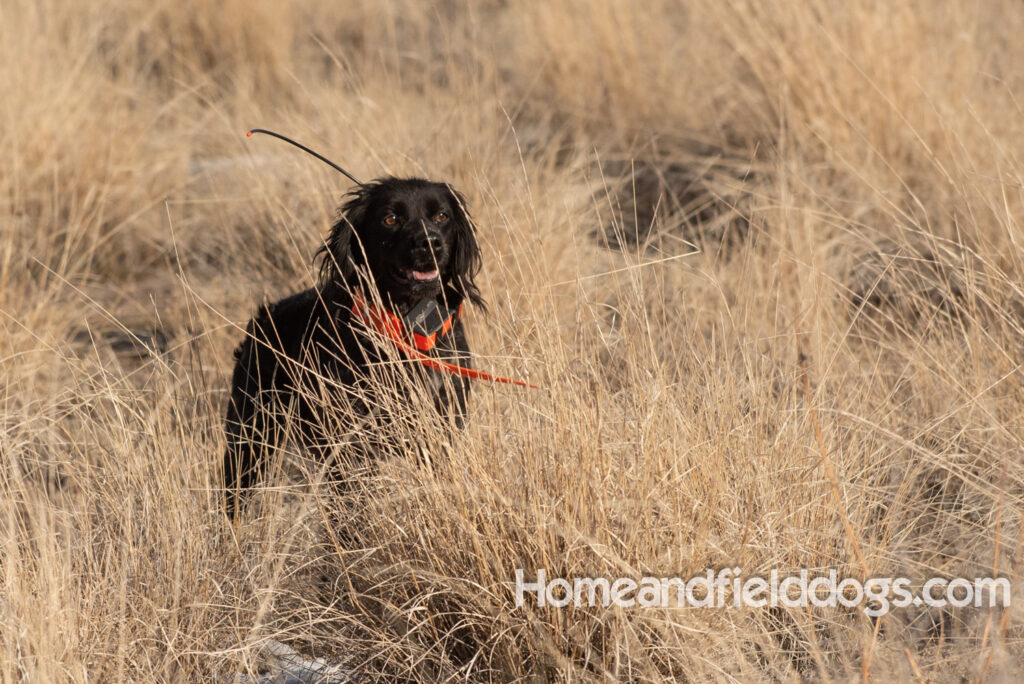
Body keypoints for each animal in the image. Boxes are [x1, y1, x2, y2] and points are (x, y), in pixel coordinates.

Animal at [221, 179, 483, 516]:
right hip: (249, 438)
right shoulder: (351, 442)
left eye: (441, 216)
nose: (430, 242)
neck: (406, 327)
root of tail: (263, 318)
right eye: (390, 219)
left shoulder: (443, 425)